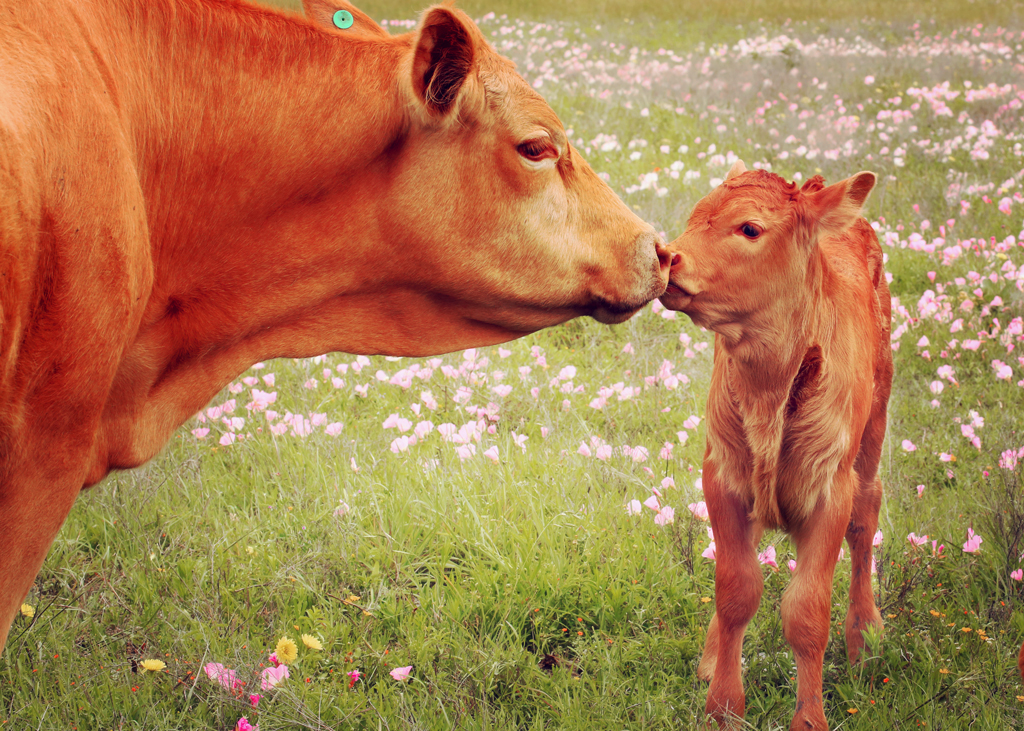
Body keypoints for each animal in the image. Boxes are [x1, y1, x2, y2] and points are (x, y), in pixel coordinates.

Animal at [659, 162, 891, 730]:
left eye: (749, 228)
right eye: (695, 216)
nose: (669, 258)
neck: (768, 391)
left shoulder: (830, 490)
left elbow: (806, 613)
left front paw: (810, 718)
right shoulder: (721, 477)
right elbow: (735, 591)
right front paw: (722, 705)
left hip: (872, 436)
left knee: (866, 519)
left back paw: (865, 632)